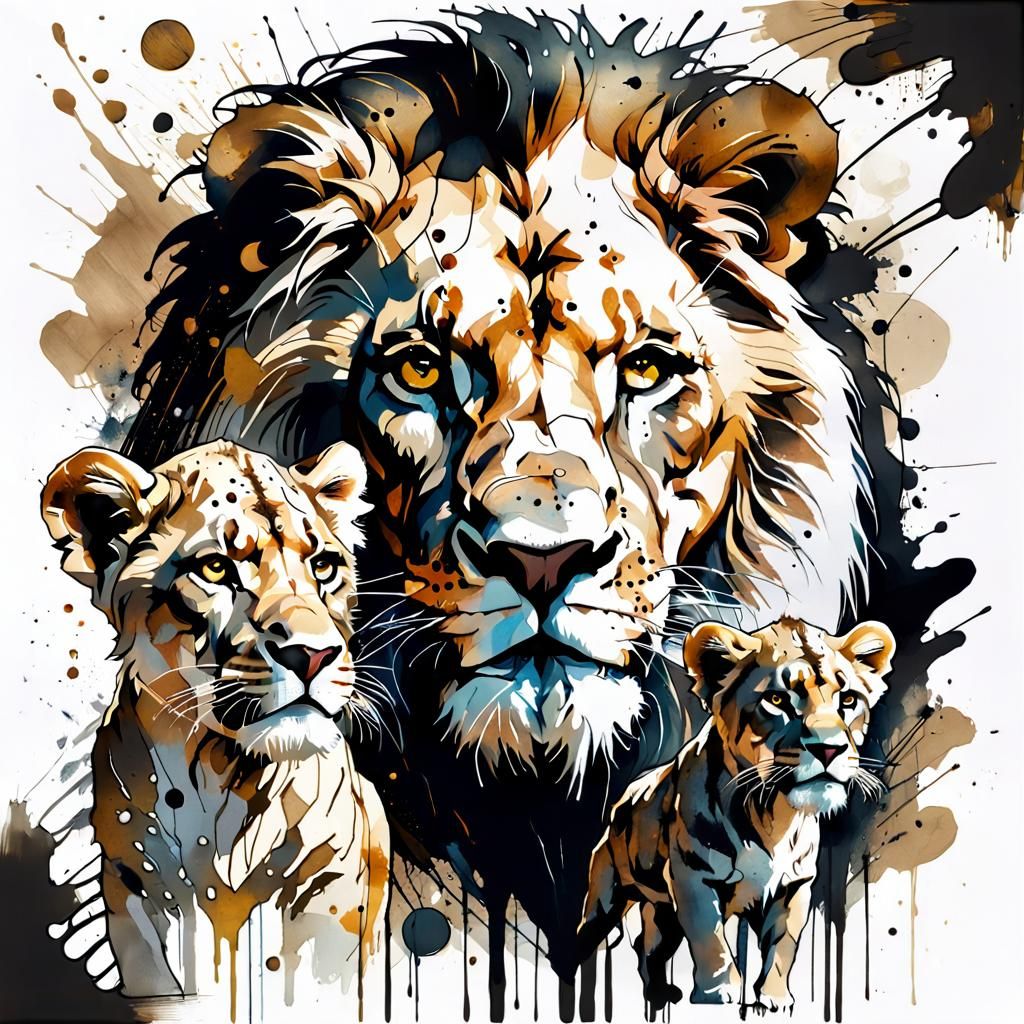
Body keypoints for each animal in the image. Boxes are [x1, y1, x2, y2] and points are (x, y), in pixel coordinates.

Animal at [41, 439, 389, 1007]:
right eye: (215, 569)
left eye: (323, 565)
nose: (315, 655)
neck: (221, 768)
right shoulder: (141, 887)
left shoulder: (327, 887)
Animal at [579, 616, 895, 1012]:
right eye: (777, 700)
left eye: (848, 700)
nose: (829, 749)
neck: (773, 814)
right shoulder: (693, 878)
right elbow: (710, 940)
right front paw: (718, 994)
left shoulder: (793, 887)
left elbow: (782, 949)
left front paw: (775, 999)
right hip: (604, 899)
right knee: (587, 940)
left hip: (662, 911)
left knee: (647, 945)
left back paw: (659, 994)